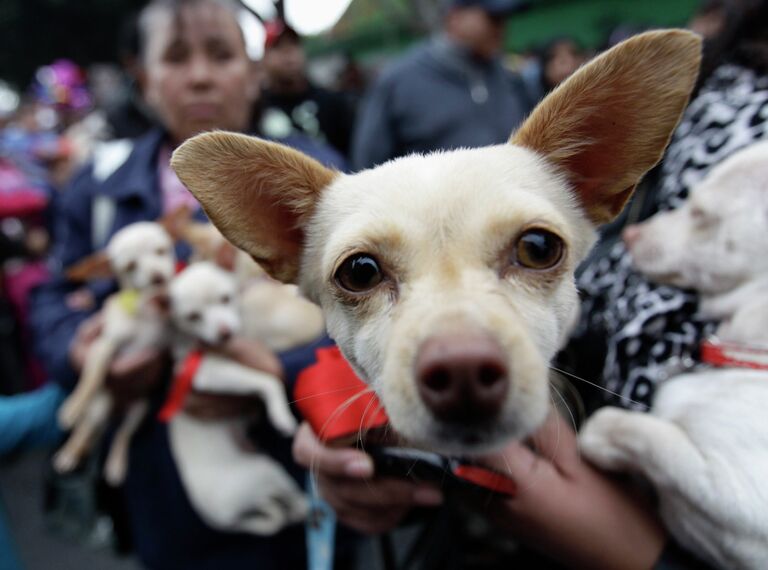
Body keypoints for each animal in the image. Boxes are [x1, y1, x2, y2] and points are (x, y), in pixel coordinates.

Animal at [164, 260, 308, 536]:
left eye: (226, 298)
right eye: (193, 317)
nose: (225, 332)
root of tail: (218, 521)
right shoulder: (208, 373)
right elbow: (268, 380)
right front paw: (281, 416)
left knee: (272, 505)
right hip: (266, 470)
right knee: (293, 501)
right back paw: (306, 507)